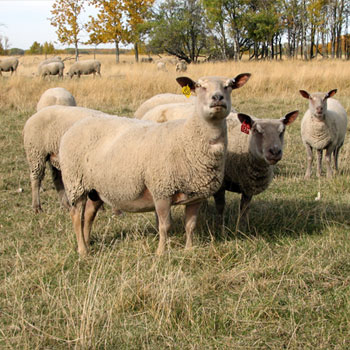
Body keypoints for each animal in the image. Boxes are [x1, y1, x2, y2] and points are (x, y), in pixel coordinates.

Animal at [59, 72, 252, 256]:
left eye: (230, 85)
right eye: (198, 86)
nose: (218, 98)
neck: (187, 139)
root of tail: (76, 126)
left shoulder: (196, 196)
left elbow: (190, 225)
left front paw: (189, 250)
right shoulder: (162, 190)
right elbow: (165, 226)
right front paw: (161, 253)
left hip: (96, 187)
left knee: (89, 214)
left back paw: (87, 242)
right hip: (75, 183)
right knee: (76, 215)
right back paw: (82, 251)